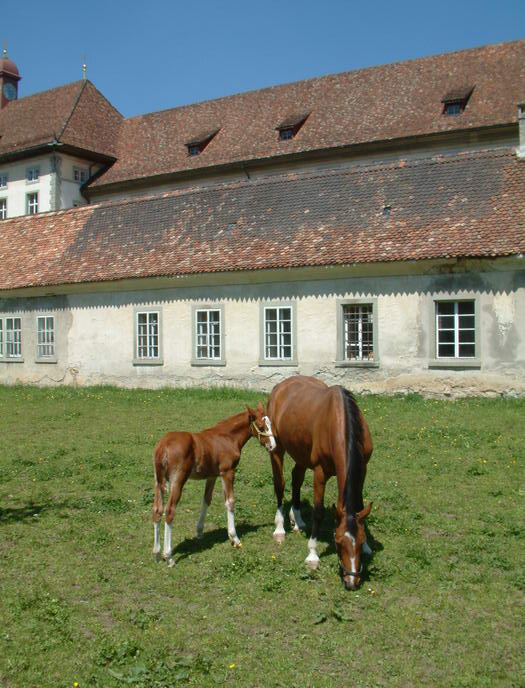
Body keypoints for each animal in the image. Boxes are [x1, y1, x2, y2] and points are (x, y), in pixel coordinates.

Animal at [149, 400, 268, 568]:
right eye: (262, 427)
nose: (272, 446)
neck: (227, 438)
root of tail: (163, 446)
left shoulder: (212, 476)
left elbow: (206, 499)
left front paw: (199, 532)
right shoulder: (227, 472)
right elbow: (230, 502)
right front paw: (234, 538)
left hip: (158, 481)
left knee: (157, 510)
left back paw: (157, 554)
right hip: (177, 481)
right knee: (169, 511)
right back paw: (169, 556)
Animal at [258, 376, 372, 592]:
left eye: (360, 542)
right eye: (338, 542)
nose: (352, 581)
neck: (339, 420)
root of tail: (281, 386)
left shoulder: (362, 470)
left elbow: (360, 506)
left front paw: (369, 546)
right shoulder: (320, 472)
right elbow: (318, 512)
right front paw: (312, 555)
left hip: (301, 453)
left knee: (296, 478)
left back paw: (297, 519)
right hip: (276, 448)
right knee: (280, 484)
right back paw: (280, 528)